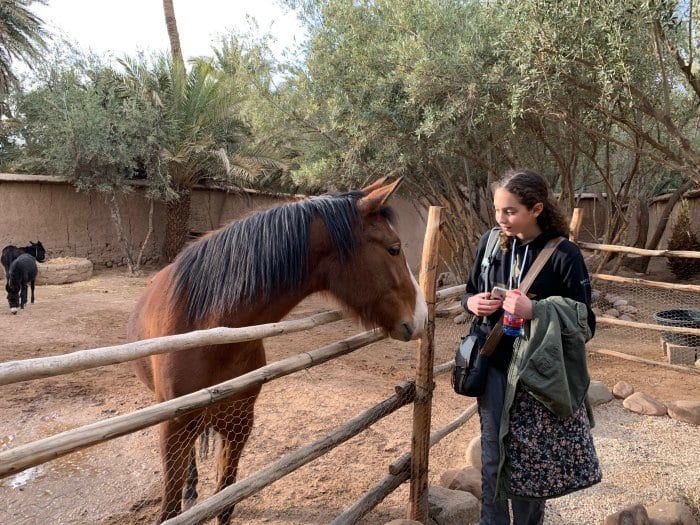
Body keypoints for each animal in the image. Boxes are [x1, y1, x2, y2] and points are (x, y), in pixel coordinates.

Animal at [129, 178, 430, 520]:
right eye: (394, 248)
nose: (422, 317)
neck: (209, 332)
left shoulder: (239, 425)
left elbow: (225, 503)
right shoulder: (173, 430)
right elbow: (170, 511)